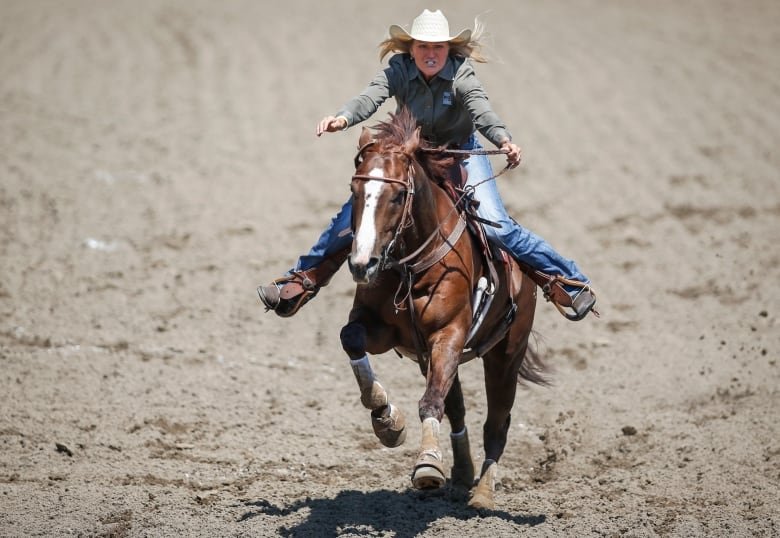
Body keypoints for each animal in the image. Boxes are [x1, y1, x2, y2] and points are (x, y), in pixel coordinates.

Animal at [342, 109, 544, 506]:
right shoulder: (383, 331)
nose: (361, 264)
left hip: (506, 355)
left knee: (496, 424)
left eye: (397, 195)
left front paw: (427, 466)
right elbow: (351, 338)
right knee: (458, 408)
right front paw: (386, 419)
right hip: (432, 357)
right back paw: (463, 471)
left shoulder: (449, 334)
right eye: (355, 192)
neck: (413, 264)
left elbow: (430, 402)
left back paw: (483, 493)